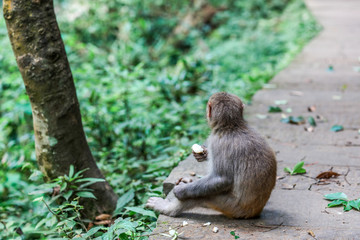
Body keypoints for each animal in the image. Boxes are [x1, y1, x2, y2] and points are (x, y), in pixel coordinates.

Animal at [145, 92, 278, 219]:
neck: (232, 126)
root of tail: (255, 212)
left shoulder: (217, 142)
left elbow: (222, 179)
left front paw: (179, 190)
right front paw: (203, 153)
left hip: (231, 206)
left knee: (201, 196)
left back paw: (167, 208)